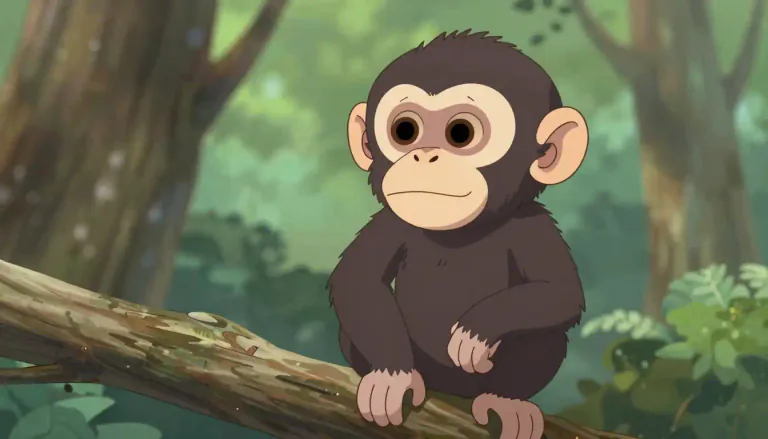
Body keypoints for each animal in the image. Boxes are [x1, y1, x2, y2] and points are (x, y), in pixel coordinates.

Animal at [327, 30, 588, 439]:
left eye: (461, 133)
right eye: (405, 130)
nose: (424, 156)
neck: (461, 233)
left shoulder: (533, 226)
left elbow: (558, 292)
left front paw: (475, 331)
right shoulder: (390, 223)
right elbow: (358, 280)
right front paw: (391, 377)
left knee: (544, 335)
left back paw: (506, 400)